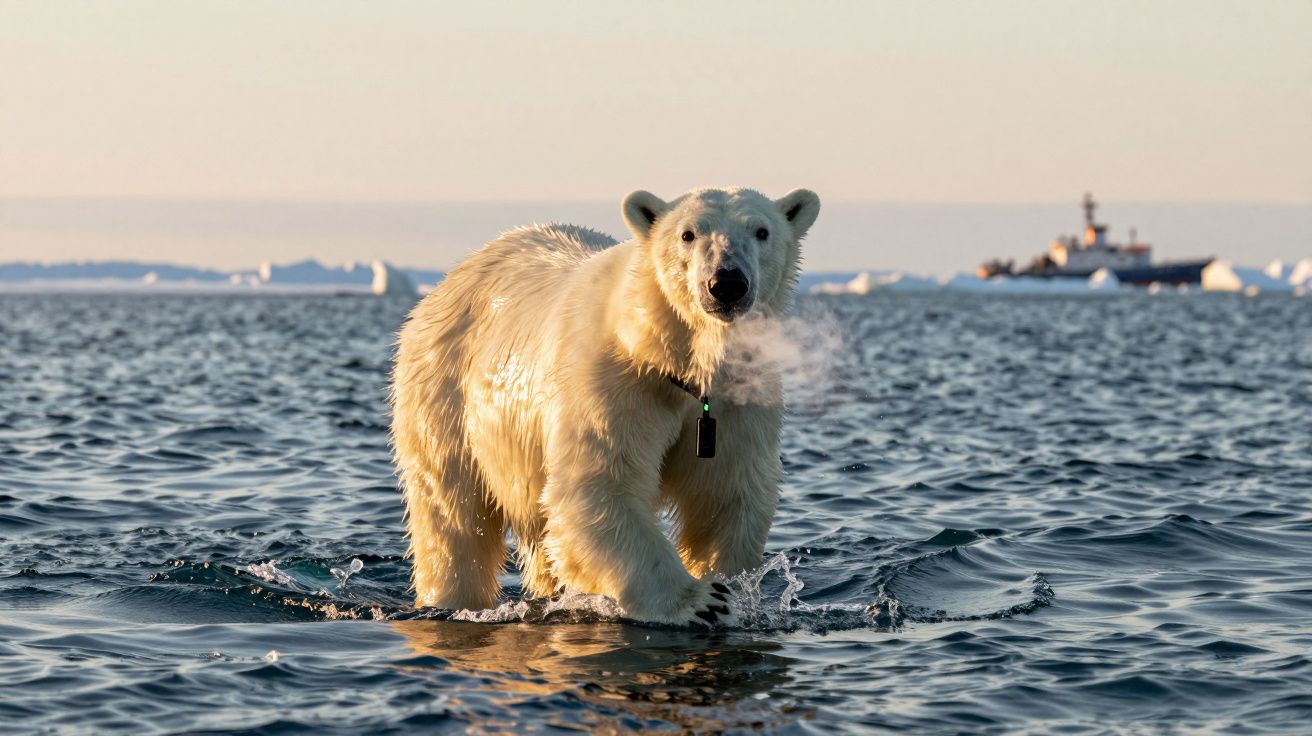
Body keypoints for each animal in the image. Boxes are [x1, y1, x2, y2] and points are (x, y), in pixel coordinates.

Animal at [390, 186, 820, 626]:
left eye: (762, 231)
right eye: (688, 234)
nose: (727, 283)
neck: (667, 352)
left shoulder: (738, 397)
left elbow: (723, 494)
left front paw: (727, 586)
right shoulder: (613, 384)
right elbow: (599, 485)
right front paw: (703, 600)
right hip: (443, 388)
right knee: (451, 514)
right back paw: (452, 598)